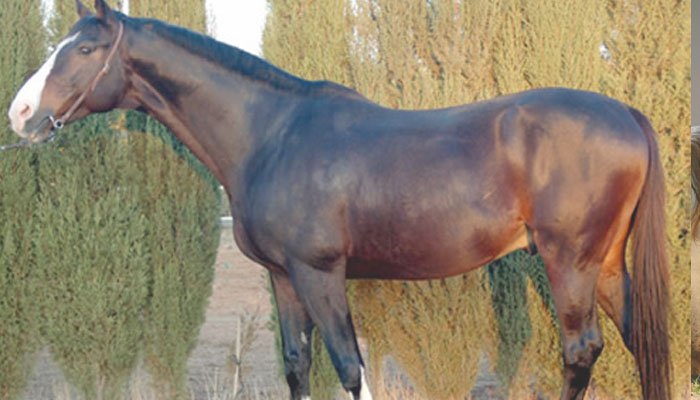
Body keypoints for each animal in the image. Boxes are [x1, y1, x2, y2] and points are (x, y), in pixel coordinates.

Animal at [7, 1, 670, 399]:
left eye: (85, 50)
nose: (19, 113)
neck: (271, 134)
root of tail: (627, 114)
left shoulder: (320, 273)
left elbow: (349, 368)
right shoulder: (283, 278)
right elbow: (297, 364)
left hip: (569, 263)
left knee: (581, 351)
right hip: (605, 266)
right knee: (641, 340)